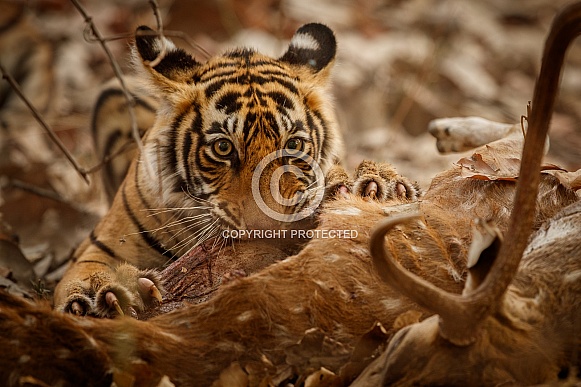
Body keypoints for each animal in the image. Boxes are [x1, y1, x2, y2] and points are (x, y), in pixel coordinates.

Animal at [53, 22, 344, 316]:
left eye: (293, 144)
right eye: (223, 148)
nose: (267, 227)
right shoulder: (100, 244)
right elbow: (85, 271)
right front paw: (106, 293)